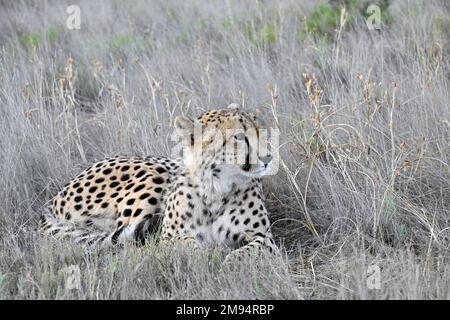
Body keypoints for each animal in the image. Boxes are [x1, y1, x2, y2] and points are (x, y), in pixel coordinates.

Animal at [40, 106, 278, 258]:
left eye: (260, 131)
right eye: (238, 137)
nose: (269, 158)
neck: (215, 187)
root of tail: (52, 202)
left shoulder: (265, 239)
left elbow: (246, 252)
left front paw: (228, 261)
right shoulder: (170, 237)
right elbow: (188, 246)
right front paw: (207, 256)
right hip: (153, 176)